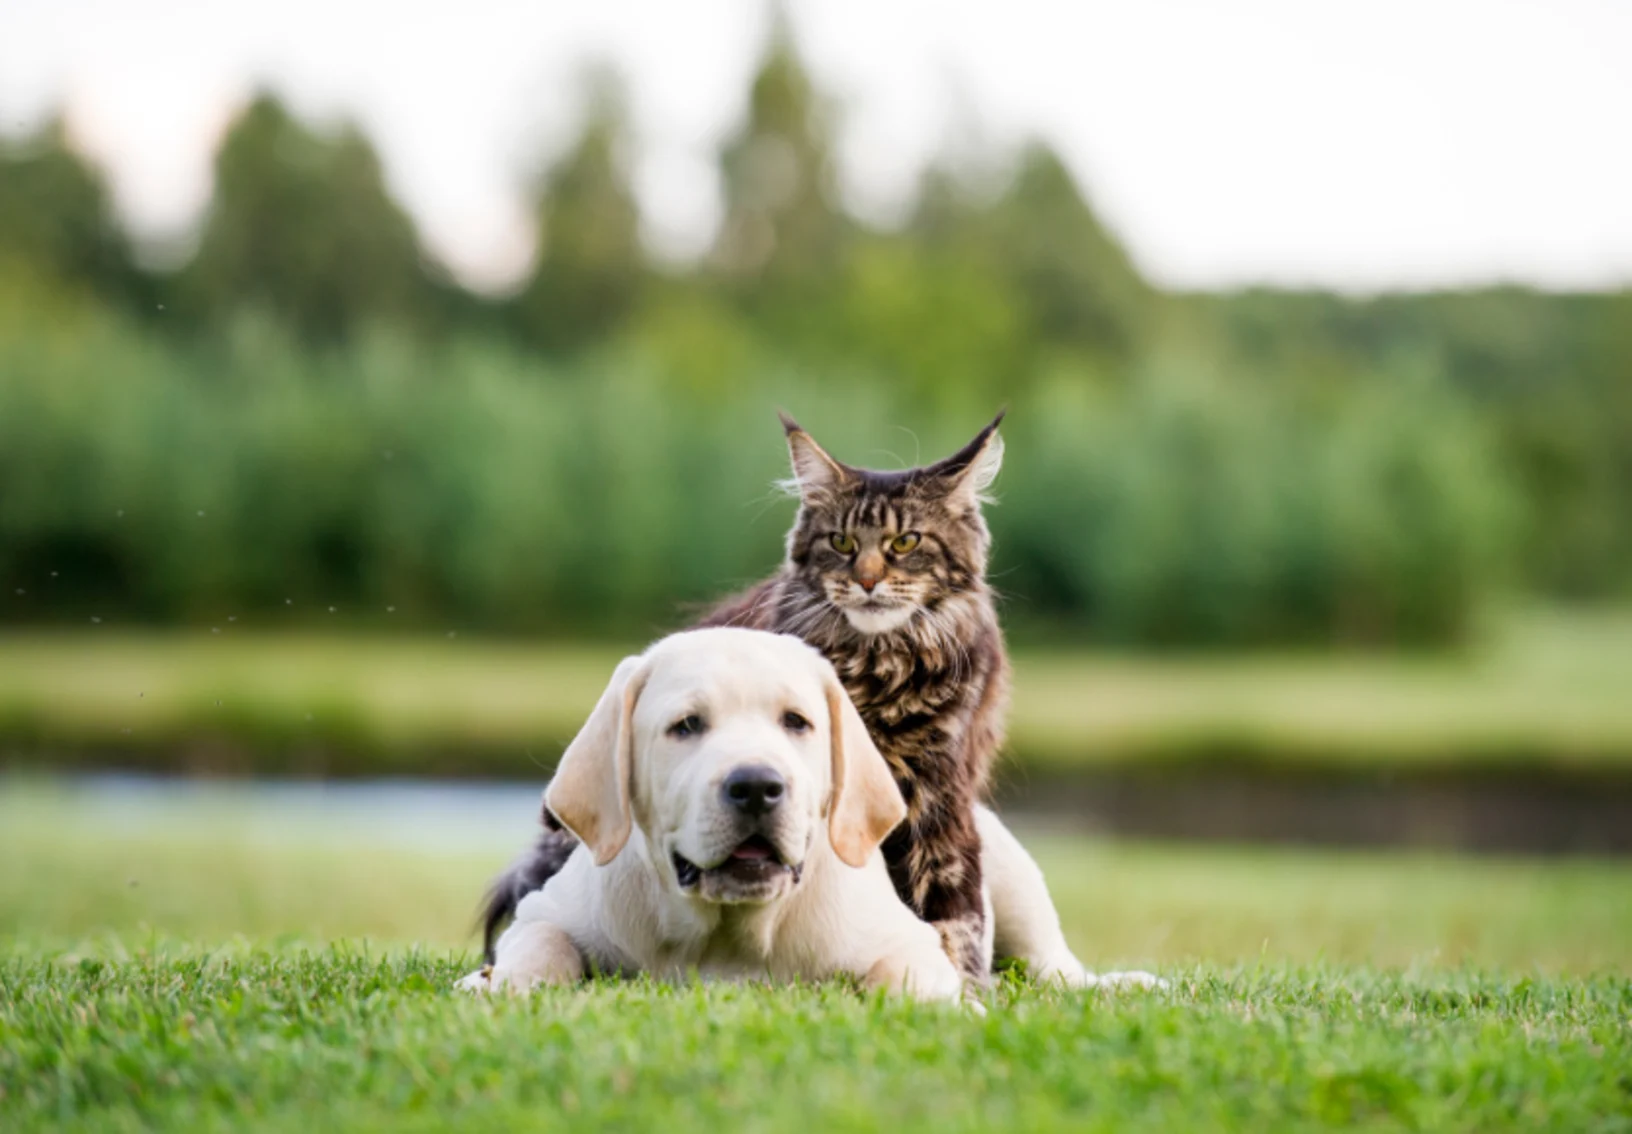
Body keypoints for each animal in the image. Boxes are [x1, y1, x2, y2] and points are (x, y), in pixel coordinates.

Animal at [483, 409, 1011, 985]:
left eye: (906, 542)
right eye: (842, 543)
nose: (868, 581)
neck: (880, 669)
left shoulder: (940, 800)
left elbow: (954, 918)